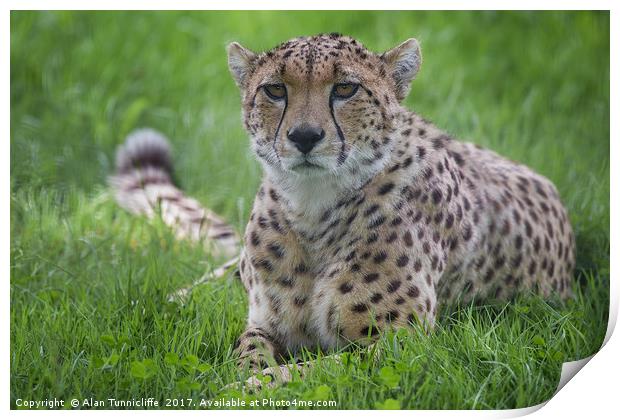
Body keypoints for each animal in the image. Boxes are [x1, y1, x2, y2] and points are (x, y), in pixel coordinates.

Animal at [110, 32, 576, 388]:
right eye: (274, 90)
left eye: (346, 89)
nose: (304, 136)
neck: (313, 206)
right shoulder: (264, 321)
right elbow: (248, 350)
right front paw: (236, 376)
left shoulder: (401, 345)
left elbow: (312, 371)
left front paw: (240, 390)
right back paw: (155, 305)